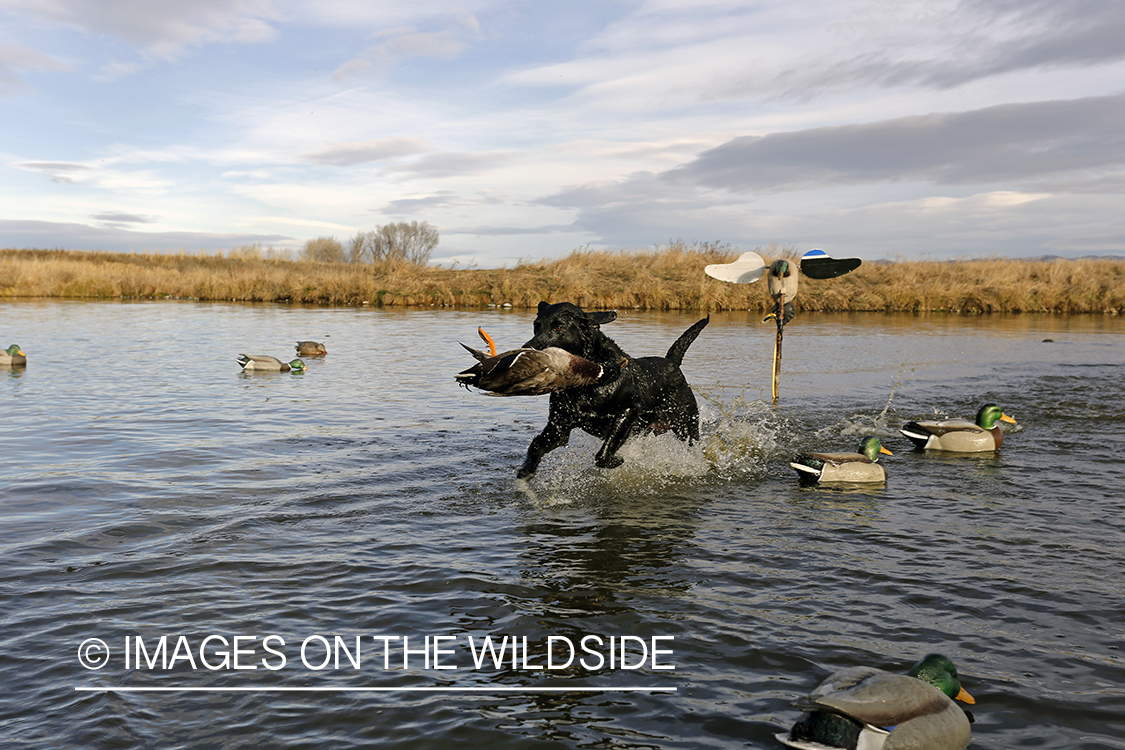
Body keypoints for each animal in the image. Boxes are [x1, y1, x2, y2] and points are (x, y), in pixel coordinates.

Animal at [515, 301, 706, 479]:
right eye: (536, 325)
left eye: (558, 326)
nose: (527, 348)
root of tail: (672, 362)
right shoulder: (559, 426)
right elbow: (536, 445)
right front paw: (526, 470)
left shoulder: (629, 409)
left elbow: (603, 453)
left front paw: (616, 460)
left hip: (686, 425)